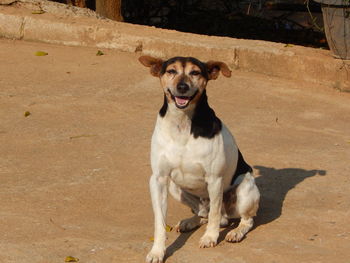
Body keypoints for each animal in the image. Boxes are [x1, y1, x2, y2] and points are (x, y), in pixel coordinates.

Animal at [139, 56, 260, 263]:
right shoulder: (158, 180)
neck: (182, 123)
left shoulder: (215, 179)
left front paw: (210, 238)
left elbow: (214, 215)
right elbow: (159, 222)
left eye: (195, 72)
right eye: (171, 71)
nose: (182, 87)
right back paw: (190, 221)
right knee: (205, 212)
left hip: (245, 191)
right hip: (175, 188)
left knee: (241, 219)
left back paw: (235, 232)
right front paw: (157, 251)